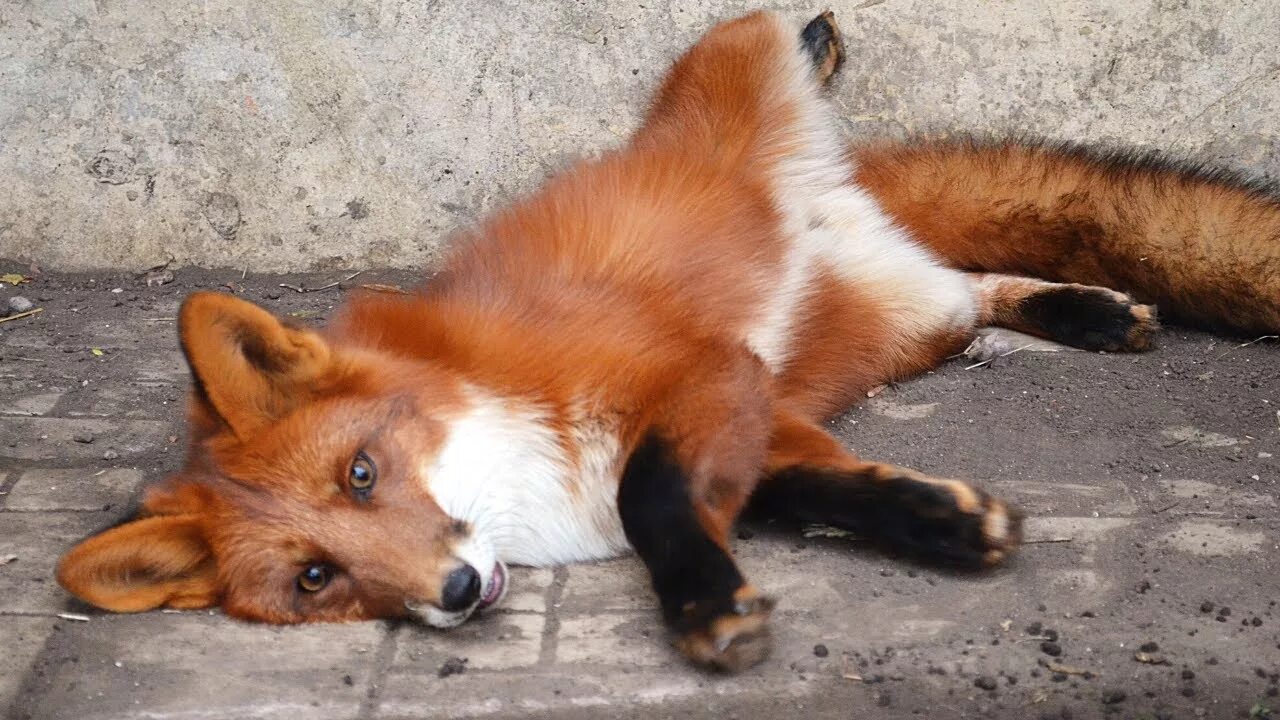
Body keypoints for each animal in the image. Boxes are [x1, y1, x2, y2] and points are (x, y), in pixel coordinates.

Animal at [56, 10, 1280, 672]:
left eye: (361, 473)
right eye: (318, 578)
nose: (454, 590)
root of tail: (839, 188)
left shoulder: (696, 373)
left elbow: (652, 495)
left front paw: (703, 605)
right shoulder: (760, 408)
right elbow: (807, 490)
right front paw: (934, 519)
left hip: (744, 61)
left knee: (783, 32)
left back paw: (824, 41)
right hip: (906, 320)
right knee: (974, 289)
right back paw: (1086, 310)